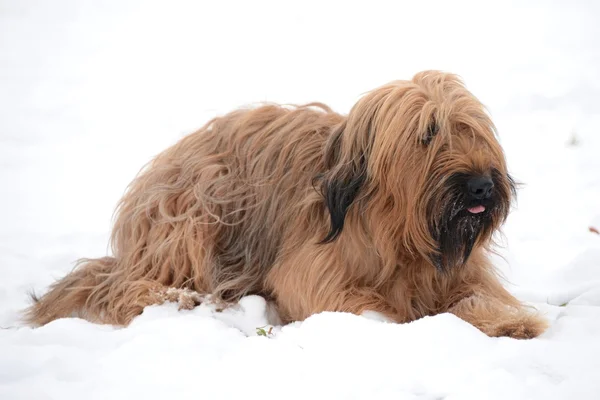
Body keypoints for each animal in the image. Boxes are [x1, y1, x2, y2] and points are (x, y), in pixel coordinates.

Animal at [24, 71, 548, 338]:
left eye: (471, 130)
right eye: (428, 134)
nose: (481, 186)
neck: (398, 233)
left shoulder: (461, 270)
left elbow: (477, 294)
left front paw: (511, 321)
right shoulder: (313, 273)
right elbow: (350, 302)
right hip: (199, 202)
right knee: (126, 288)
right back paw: (181, 299)